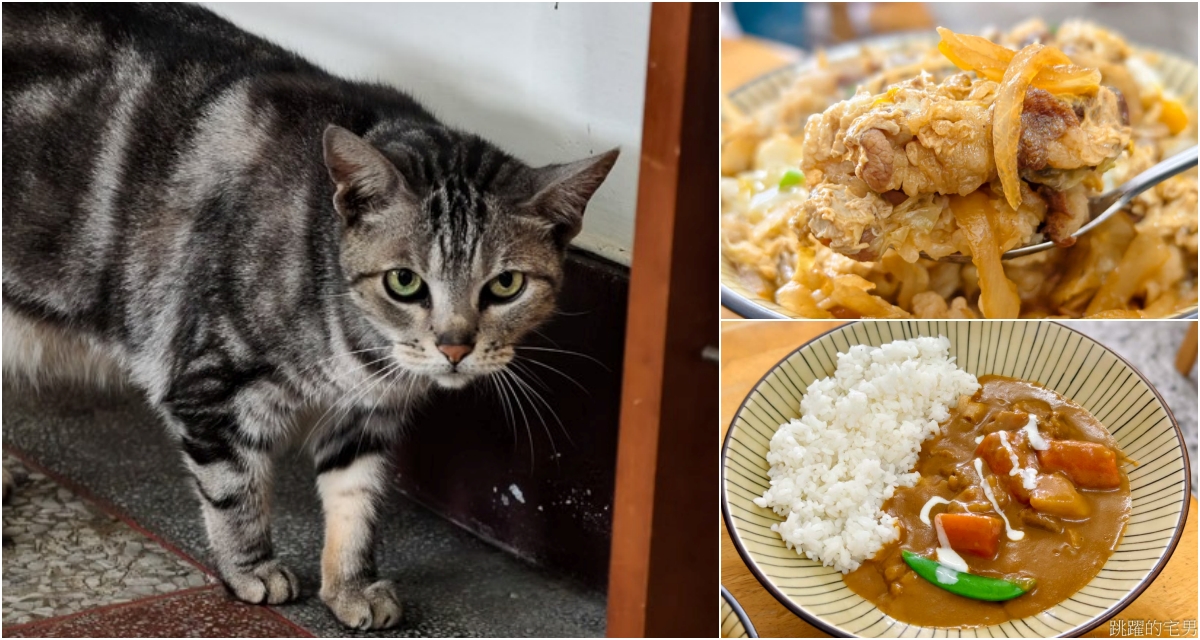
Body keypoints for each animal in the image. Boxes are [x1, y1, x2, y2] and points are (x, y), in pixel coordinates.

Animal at [0, 2, 619, 624]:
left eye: (506, 285)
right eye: (404, 282)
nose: (454, 346)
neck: (356, 349)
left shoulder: (366, 418)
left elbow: (357, 502)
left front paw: (350, 585)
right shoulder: (208, 386)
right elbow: (234, 490)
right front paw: (250, 570)